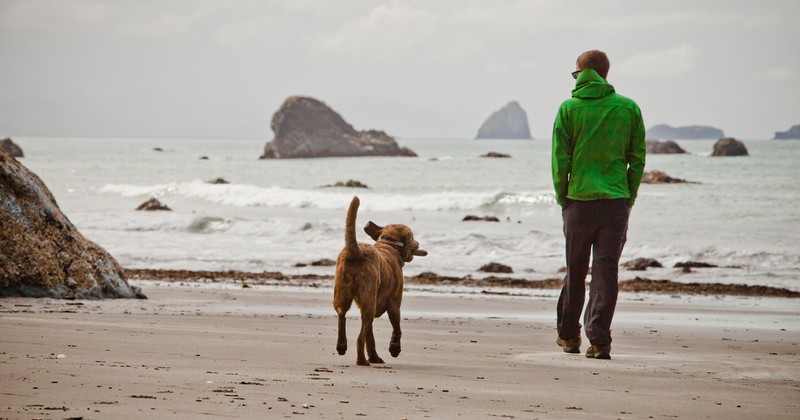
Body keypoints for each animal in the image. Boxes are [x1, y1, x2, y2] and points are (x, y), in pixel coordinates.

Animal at [334, 196, 428, 364]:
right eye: (412, 238)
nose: (418, 243)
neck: (389, 244)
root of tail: (356, 252)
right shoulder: (395, 303)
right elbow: (397, 328)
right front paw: (394, 348)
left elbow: (370, 336)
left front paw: (374, 357)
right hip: (369, 301)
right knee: (359, 338)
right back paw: (361, 361)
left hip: (342, 293)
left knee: (341, 315)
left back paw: (342, 345)